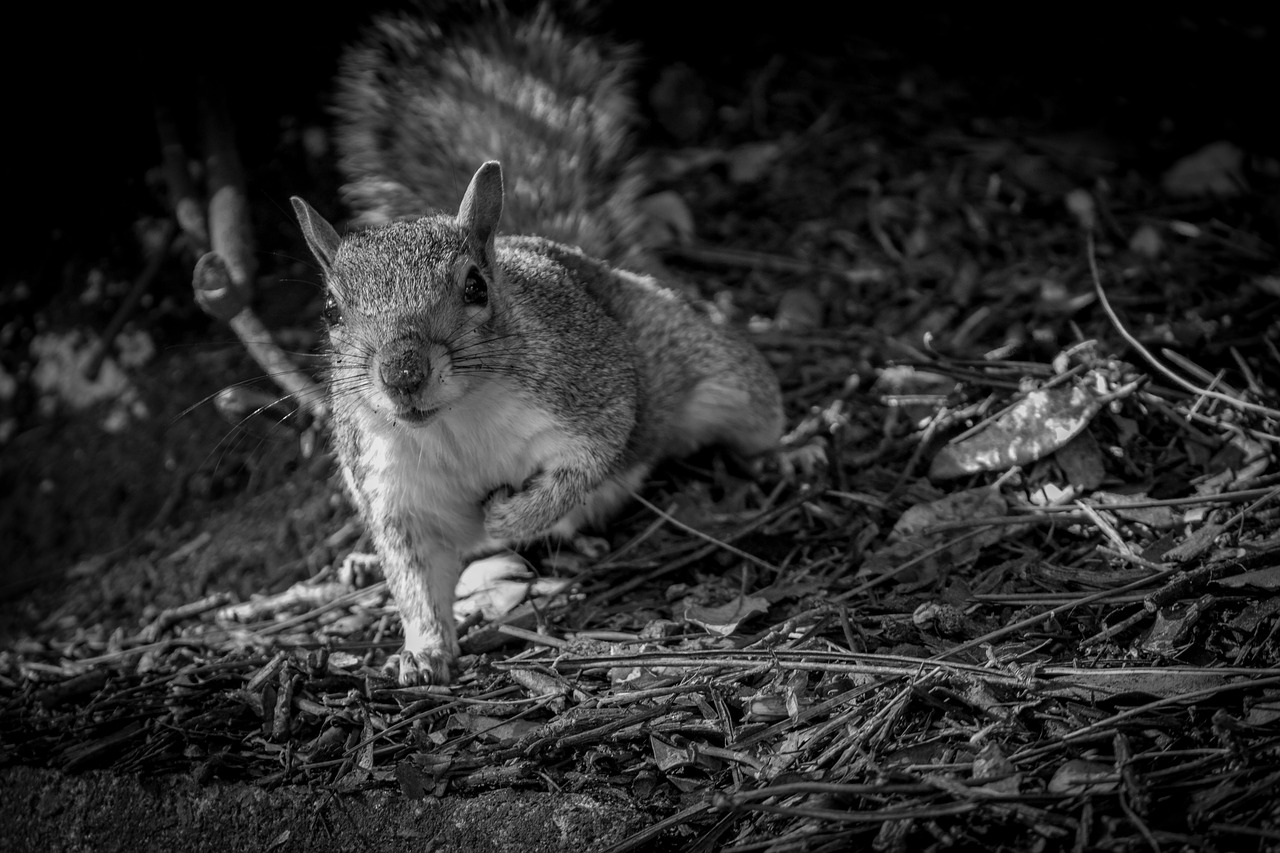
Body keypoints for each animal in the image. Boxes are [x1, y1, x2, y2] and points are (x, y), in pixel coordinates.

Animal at [293, 4, 778, 686]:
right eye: (331, 310)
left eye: (476, 286)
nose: (403, 374)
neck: (457, 420)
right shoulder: (395, 490)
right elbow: (415, 578)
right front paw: (423, 650)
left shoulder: (589, 397)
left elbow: (579, 471)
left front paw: (508, 515)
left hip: (721, 374)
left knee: (755, 417)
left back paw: (795, 451)